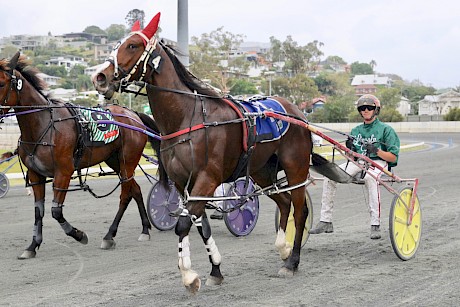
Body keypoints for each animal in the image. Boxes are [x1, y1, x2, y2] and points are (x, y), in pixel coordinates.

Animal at [92, 13, 312, 294]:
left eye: (132, 45)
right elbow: (202, 226)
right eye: (117, 44)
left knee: (299, 210)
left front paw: (188, 275)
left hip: (296, 167)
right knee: (284, 203)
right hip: (262, 171)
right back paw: (283, 248)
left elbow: (184, 224)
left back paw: (292, 262)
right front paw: (215, 270)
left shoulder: (207, 178)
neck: (187, 118)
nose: (99, 77)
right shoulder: (184, 183)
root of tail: (295, 111)